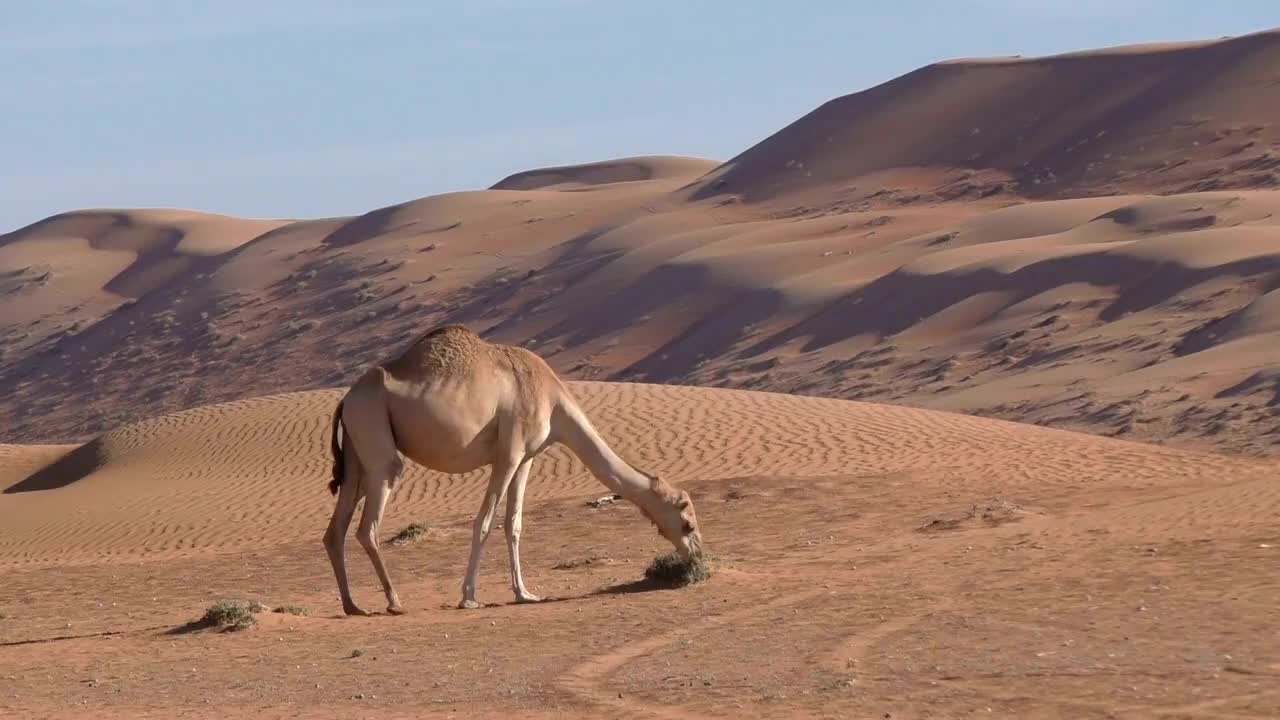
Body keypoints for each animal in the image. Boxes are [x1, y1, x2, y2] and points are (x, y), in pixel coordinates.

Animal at [320, 324, 701, 609]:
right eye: (687, 523)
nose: (698, 558)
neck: (554, 401)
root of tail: (346, 398)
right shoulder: (509, 454)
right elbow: (484, 522)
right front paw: (469, 597)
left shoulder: (526, 459)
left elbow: (513, 524)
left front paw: (524, 593)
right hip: (375, 434)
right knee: (368, 524)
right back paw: (394, 601)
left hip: (356, 454)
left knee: (336, 527)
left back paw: (352, 605)